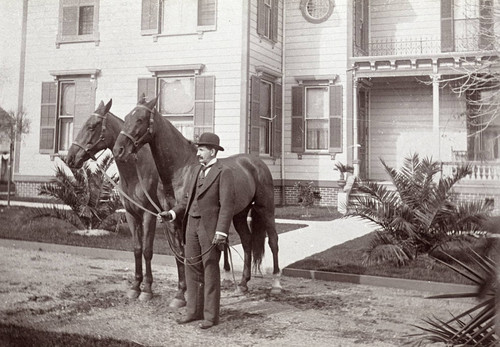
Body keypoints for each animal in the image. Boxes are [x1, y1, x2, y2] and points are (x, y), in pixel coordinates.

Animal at [63, 99, 187, 306]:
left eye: (93, 125)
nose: (70, 158)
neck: (136, 173)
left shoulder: (148, 216)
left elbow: (147, 250)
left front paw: (147, 290)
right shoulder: (131, 214)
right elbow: (137, 249)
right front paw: (135, 287)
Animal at [114, 97, 284, 294]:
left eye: (140, 119)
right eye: (127, 117)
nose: (118, 150)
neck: (180, 170)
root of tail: (257, 163)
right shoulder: (171, 219)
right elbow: (180, 254)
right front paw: (181, 292)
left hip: (266, 209)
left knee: (273, 241)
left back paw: (276, 283)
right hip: (239, 214)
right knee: (247, 241)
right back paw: (242, 284)